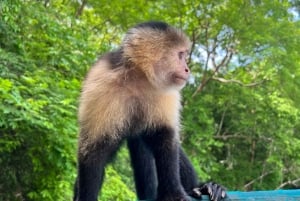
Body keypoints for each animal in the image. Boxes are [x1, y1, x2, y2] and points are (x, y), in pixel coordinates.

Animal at [74, 20, 226, 201]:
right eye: (180, 55)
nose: (187, 69)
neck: (138, 79)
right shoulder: (101, 85)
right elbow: (94, 151)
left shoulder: (166, 92)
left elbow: (166, 139)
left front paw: (174, 194)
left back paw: (201, 188)